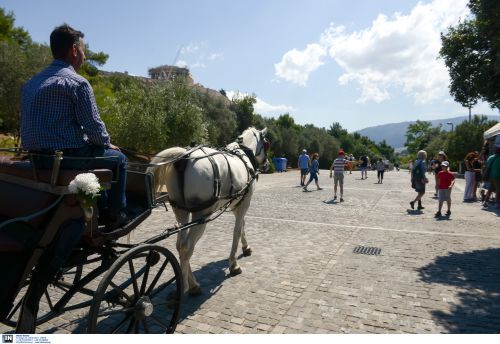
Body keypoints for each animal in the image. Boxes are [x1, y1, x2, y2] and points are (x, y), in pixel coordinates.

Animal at [150, 127, 270, 294]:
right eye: (266, 144)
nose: (267, 165)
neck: (243, 153)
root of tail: (183, 158)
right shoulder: (245, 202)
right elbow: (237, 230)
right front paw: (234, 264)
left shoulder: (237, 204)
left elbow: (242, 225)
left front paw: (246, 247)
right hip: (201, 216)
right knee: (187, 247)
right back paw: (185, 287)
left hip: (181, 212)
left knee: (180, 245)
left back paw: (193, 283)